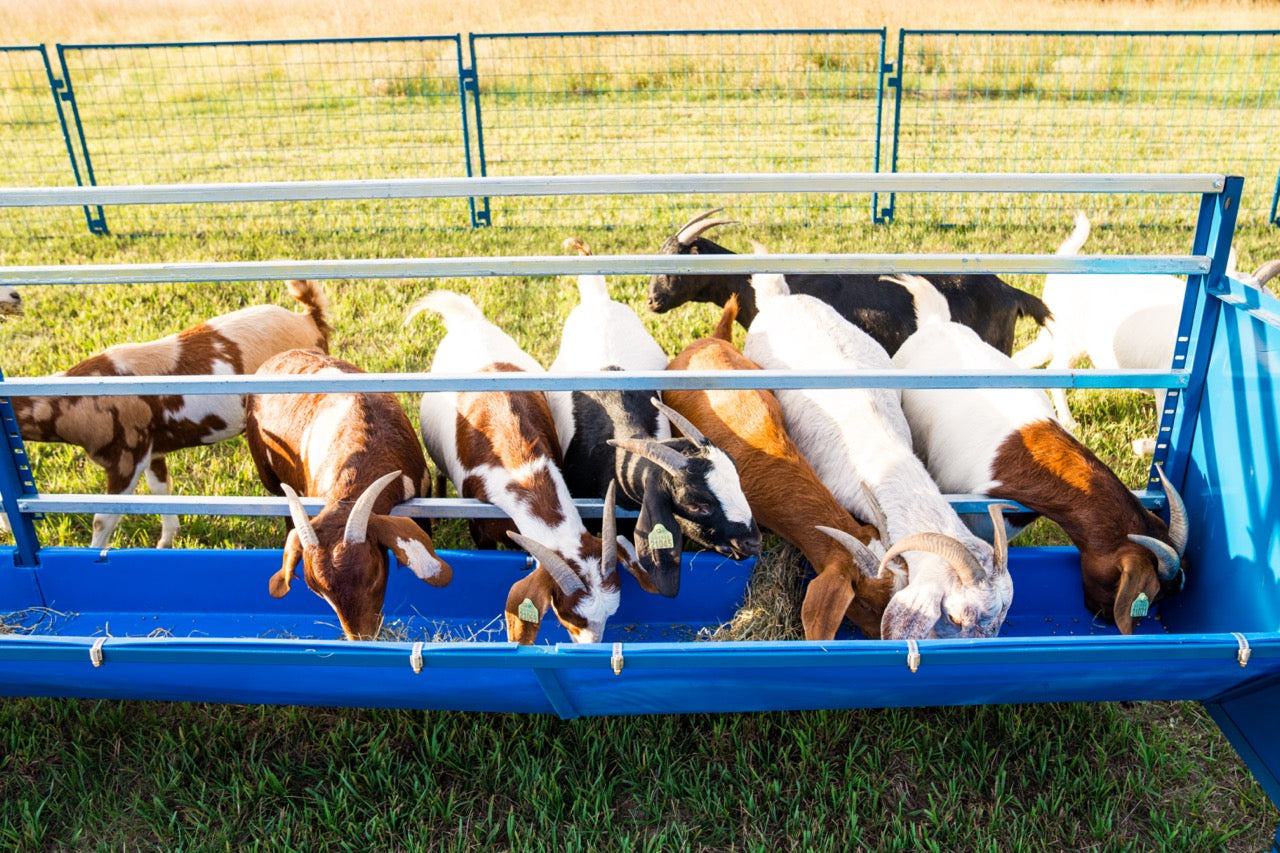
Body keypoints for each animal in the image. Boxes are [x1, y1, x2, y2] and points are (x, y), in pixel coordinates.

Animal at [3, 280, 330, 548]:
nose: (5, 530)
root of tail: (308, 320)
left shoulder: (126, 456)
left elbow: (103, 518)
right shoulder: (152, 450)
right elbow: (161, 492)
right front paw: (165, 541)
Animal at [407, 289, 644, 644]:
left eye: (610, 612)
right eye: (569, 615)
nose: (590, 647)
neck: (521, 470)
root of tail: (468, 320)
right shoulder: (480, 527)